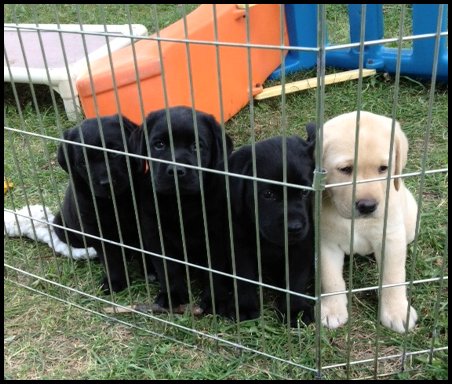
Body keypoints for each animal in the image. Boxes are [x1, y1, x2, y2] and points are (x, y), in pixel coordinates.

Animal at [53, 115, 147, 292]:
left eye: (115, 152)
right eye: (83, 163)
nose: (106, 183)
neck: (116, 201)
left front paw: (150, 272)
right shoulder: (97, 229)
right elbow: (111, 259)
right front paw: (115, 282)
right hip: (60, 226)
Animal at [128, 106, 231, 316]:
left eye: (197, 146)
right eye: (159, 145)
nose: (176, 170)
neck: (182, 202)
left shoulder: (216, 235)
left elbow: (215, 269)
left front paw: (215, 299)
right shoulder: (155, 233)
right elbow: (168, 268)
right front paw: (172, 295)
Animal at [230, 127, 314, 326]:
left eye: (305, 192)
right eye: (267, 194)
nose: (294, 227)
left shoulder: (302, 246)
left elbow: (296, 279)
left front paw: (295, 310)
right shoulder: (240, 245)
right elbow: (244, 277)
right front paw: (244, 306)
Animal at [320, 111, 418, 332]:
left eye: (383, 168)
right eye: (345, 169)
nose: (367, 206)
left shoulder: (390, 239)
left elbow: (393, 278)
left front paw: (397, 311)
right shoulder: (326, 243)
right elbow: (331, 279)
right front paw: (333, 309)